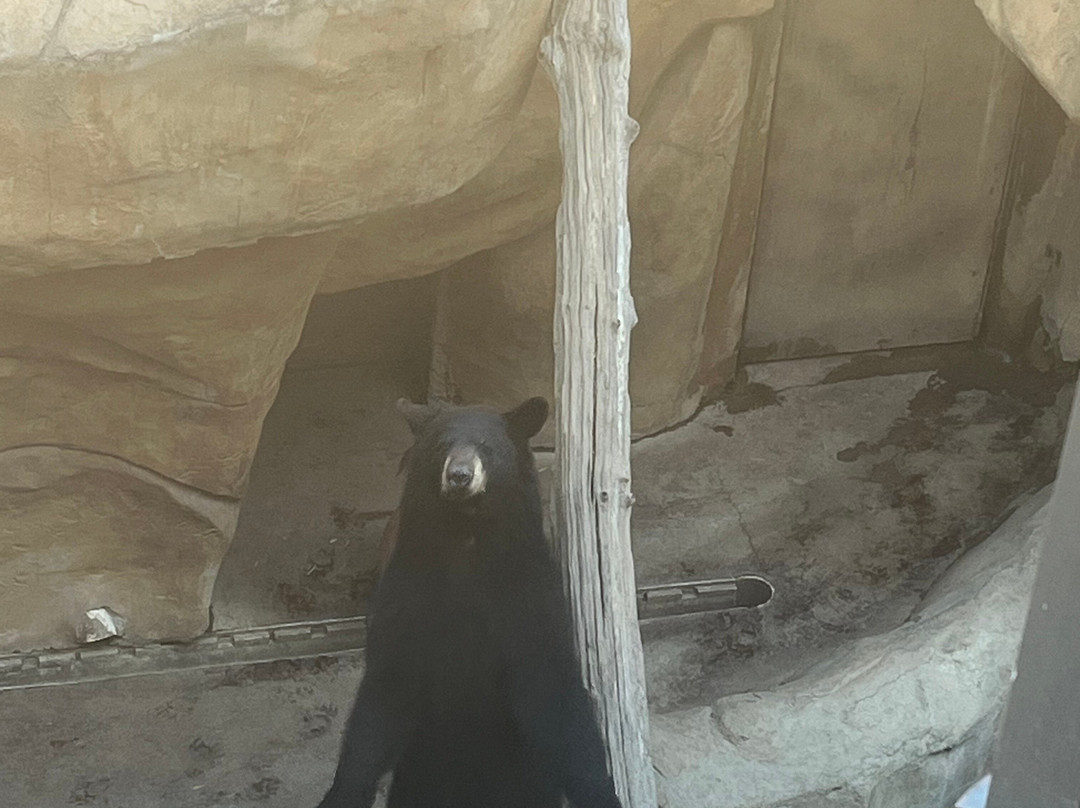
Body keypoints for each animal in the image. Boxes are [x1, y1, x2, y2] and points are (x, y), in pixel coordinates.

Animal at [316, 397, 623, 808]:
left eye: (485, 446)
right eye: (442, 444)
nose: (460, 475)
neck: (467, 537)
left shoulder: (529, 595)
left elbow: (554, 692)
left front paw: (600, 790)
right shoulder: (406, 595)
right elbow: (383, 693)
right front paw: (343, 792)